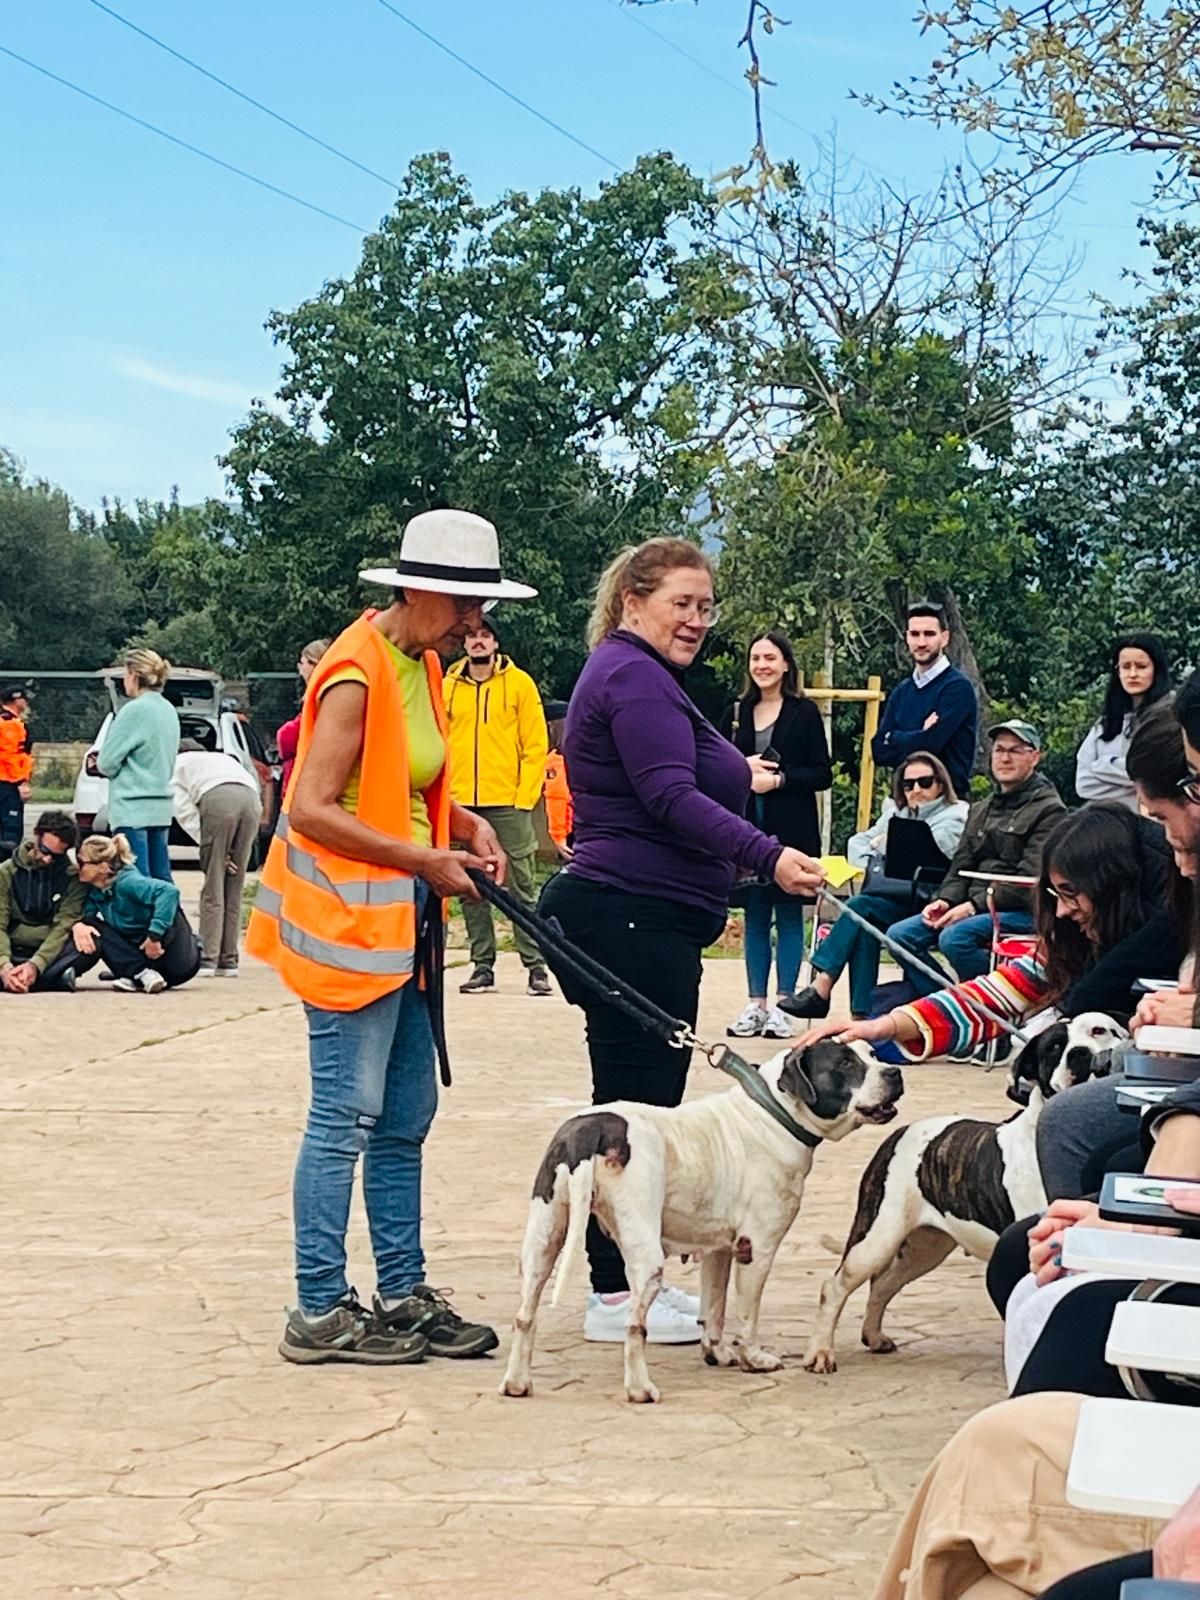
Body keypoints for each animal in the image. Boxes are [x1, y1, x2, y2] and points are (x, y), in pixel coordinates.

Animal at [499, 1036, 902, 1401]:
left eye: (873, 1053)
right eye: (845, 1063)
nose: (894, 1072)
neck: (774, 1113)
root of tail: (591, 1130)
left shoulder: (717, 1250)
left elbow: (714, 1307)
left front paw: (717, 1352)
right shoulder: (757, 1249)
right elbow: (746, 1314)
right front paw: (753, 1358)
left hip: (542, 1241)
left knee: (524, 1315)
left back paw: (517, 1383)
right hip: (645, 1255)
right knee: (633, 1325)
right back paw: (640, 1389)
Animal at [803, 1011, 1132, 1376]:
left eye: (1100, 1030)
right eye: (1055, 1047)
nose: (1079, 1054)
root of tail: (899, 1133)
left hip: (925, 1248)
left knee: (884, 1284)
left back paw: (874, 1337)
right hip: (876, 1239)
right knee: (835, 1287)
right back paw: (820, 1353)